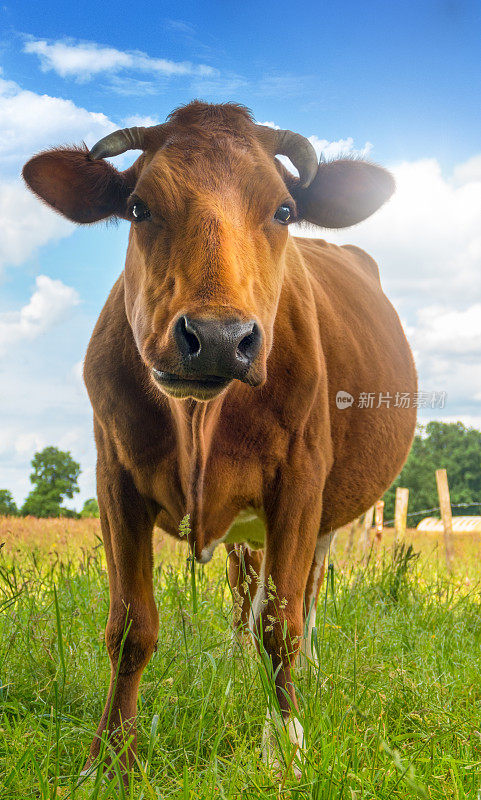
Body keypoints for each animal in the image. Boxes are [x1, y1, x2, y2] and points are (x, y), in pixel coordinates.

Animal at [21, 103, 416, 780]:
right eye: (138, 207)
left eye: (283, 209)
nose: (218, 338)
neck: (198, 422)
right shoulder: (113, 478)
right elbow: (130, 627)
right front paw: (111, 758)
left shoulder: (300, 484)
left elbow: (283, 625)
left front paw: (286, 745)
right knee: (242, 597)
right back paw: (236, 669)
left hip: (326, 515)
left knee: (304, 597)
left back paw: (309, 676)